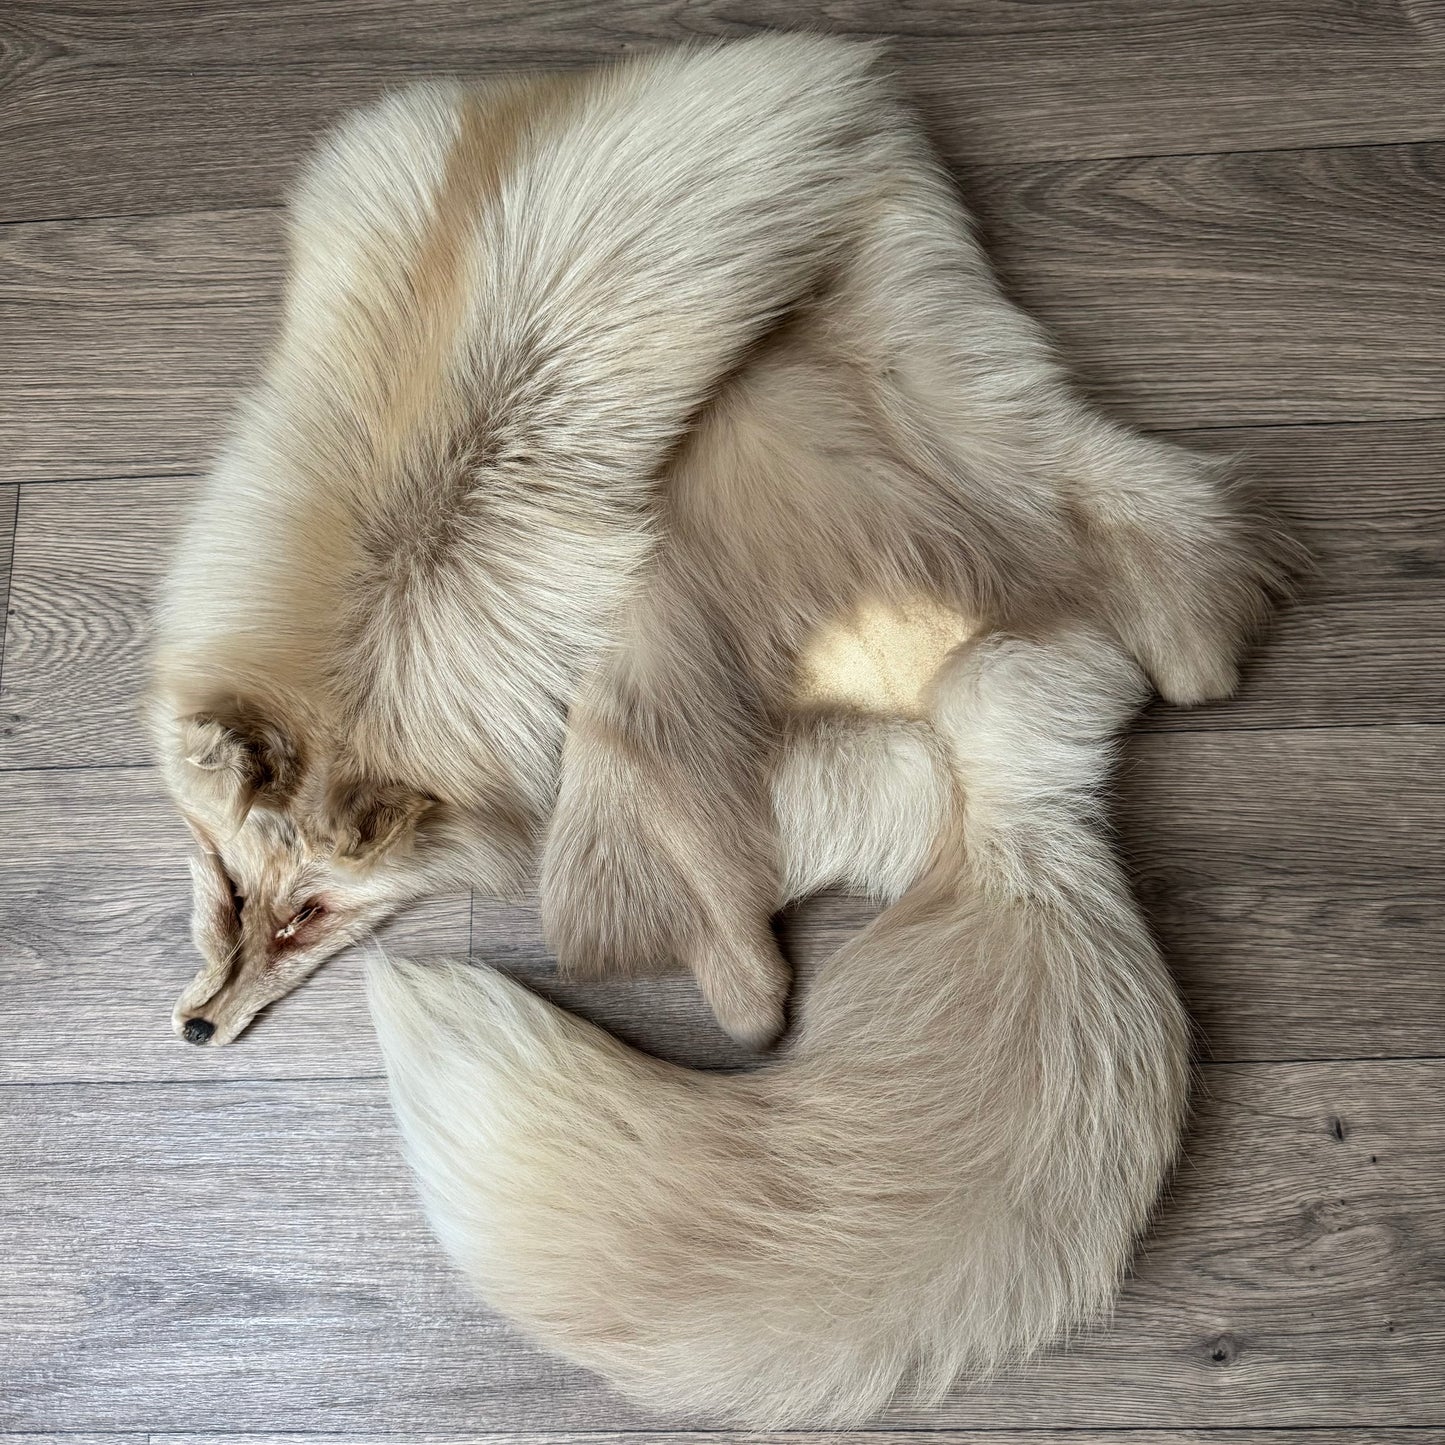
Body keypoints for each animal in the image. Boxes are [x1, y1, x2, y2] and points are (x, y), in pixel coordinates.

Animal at [147, 36, 1289, 1422]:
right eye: (225, 889)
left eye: (310, 913)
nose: (198, 1028)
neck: (390, 602)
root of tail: (997, 776)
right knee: (1168, 586)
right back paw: (1196, 649)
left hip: (643, 706)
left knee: (712, 980)